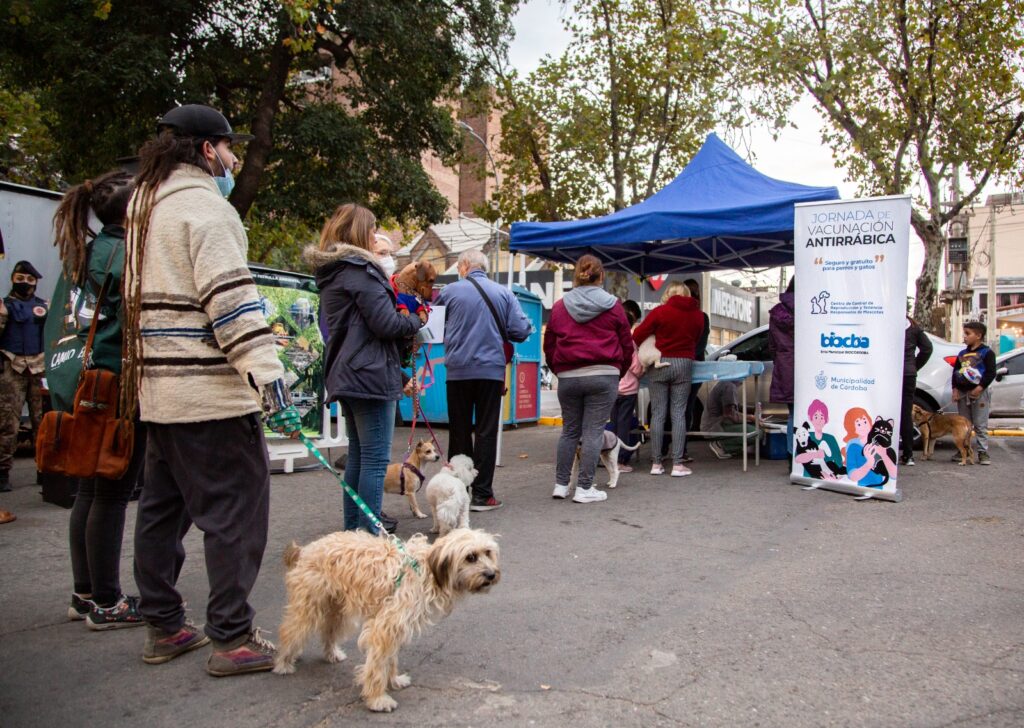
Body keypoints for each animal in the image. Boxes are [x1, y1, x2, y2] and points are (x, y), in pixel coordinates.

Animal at [270, 528, 497, 716]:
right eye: (470, 557)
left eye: (488, 552)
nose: (491, 574)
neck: (426, 572)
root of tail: (305, 550)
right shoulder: (385, 627)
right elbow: (378, 664)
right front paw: (377, 699)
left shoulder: (395, 626)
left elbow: (390, 659)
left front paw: (394, 680)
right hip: (307, 609)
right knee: (289, 631)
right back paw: (283, 663)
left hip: (338, 610)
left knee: (328, 631)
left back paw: (332, 653)